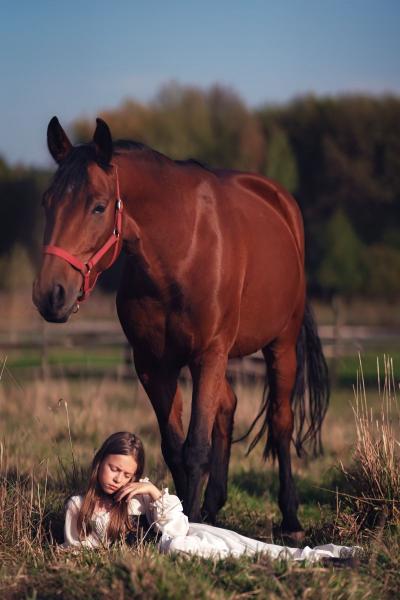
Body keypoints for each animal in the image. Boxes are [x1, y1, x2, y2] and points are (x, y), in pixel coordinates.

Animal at [33, 115, 328, 536]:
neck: (181, 250)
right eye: (47, 202)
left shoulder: (208, 354)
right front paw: (180, 517)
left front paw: (188, 528)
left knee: (280, 422)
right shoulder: (154, 365)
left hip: (279, 346)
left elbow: (195, 448)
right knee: (228, 408)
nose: (50, 294)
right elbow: (174, 448)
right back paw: (214, 505)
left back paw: (289, 517)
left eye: (98, 207)